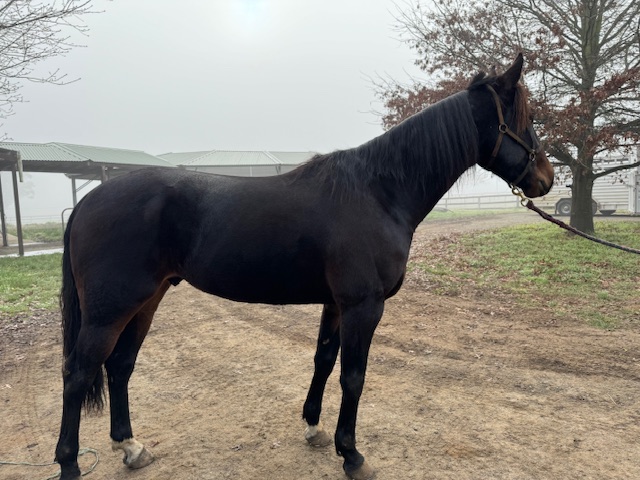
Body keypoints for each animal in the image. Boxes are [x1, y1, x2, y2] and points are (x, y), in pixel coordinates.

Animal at [55, 53, 553, 480]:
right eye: (526, 120)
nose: (546, 179)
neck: (378, 192)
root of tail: (88, 202)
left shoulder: (336, 304)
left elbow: (324, 361)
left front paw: (314, 429)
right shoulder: (363, 306)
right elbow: (354, 376)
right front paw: (351, 454)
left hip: (148, 299)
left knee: (120, 365)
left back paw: (131, 447)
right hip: (110, 309)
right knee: (78, 373)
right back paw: (70, 463)